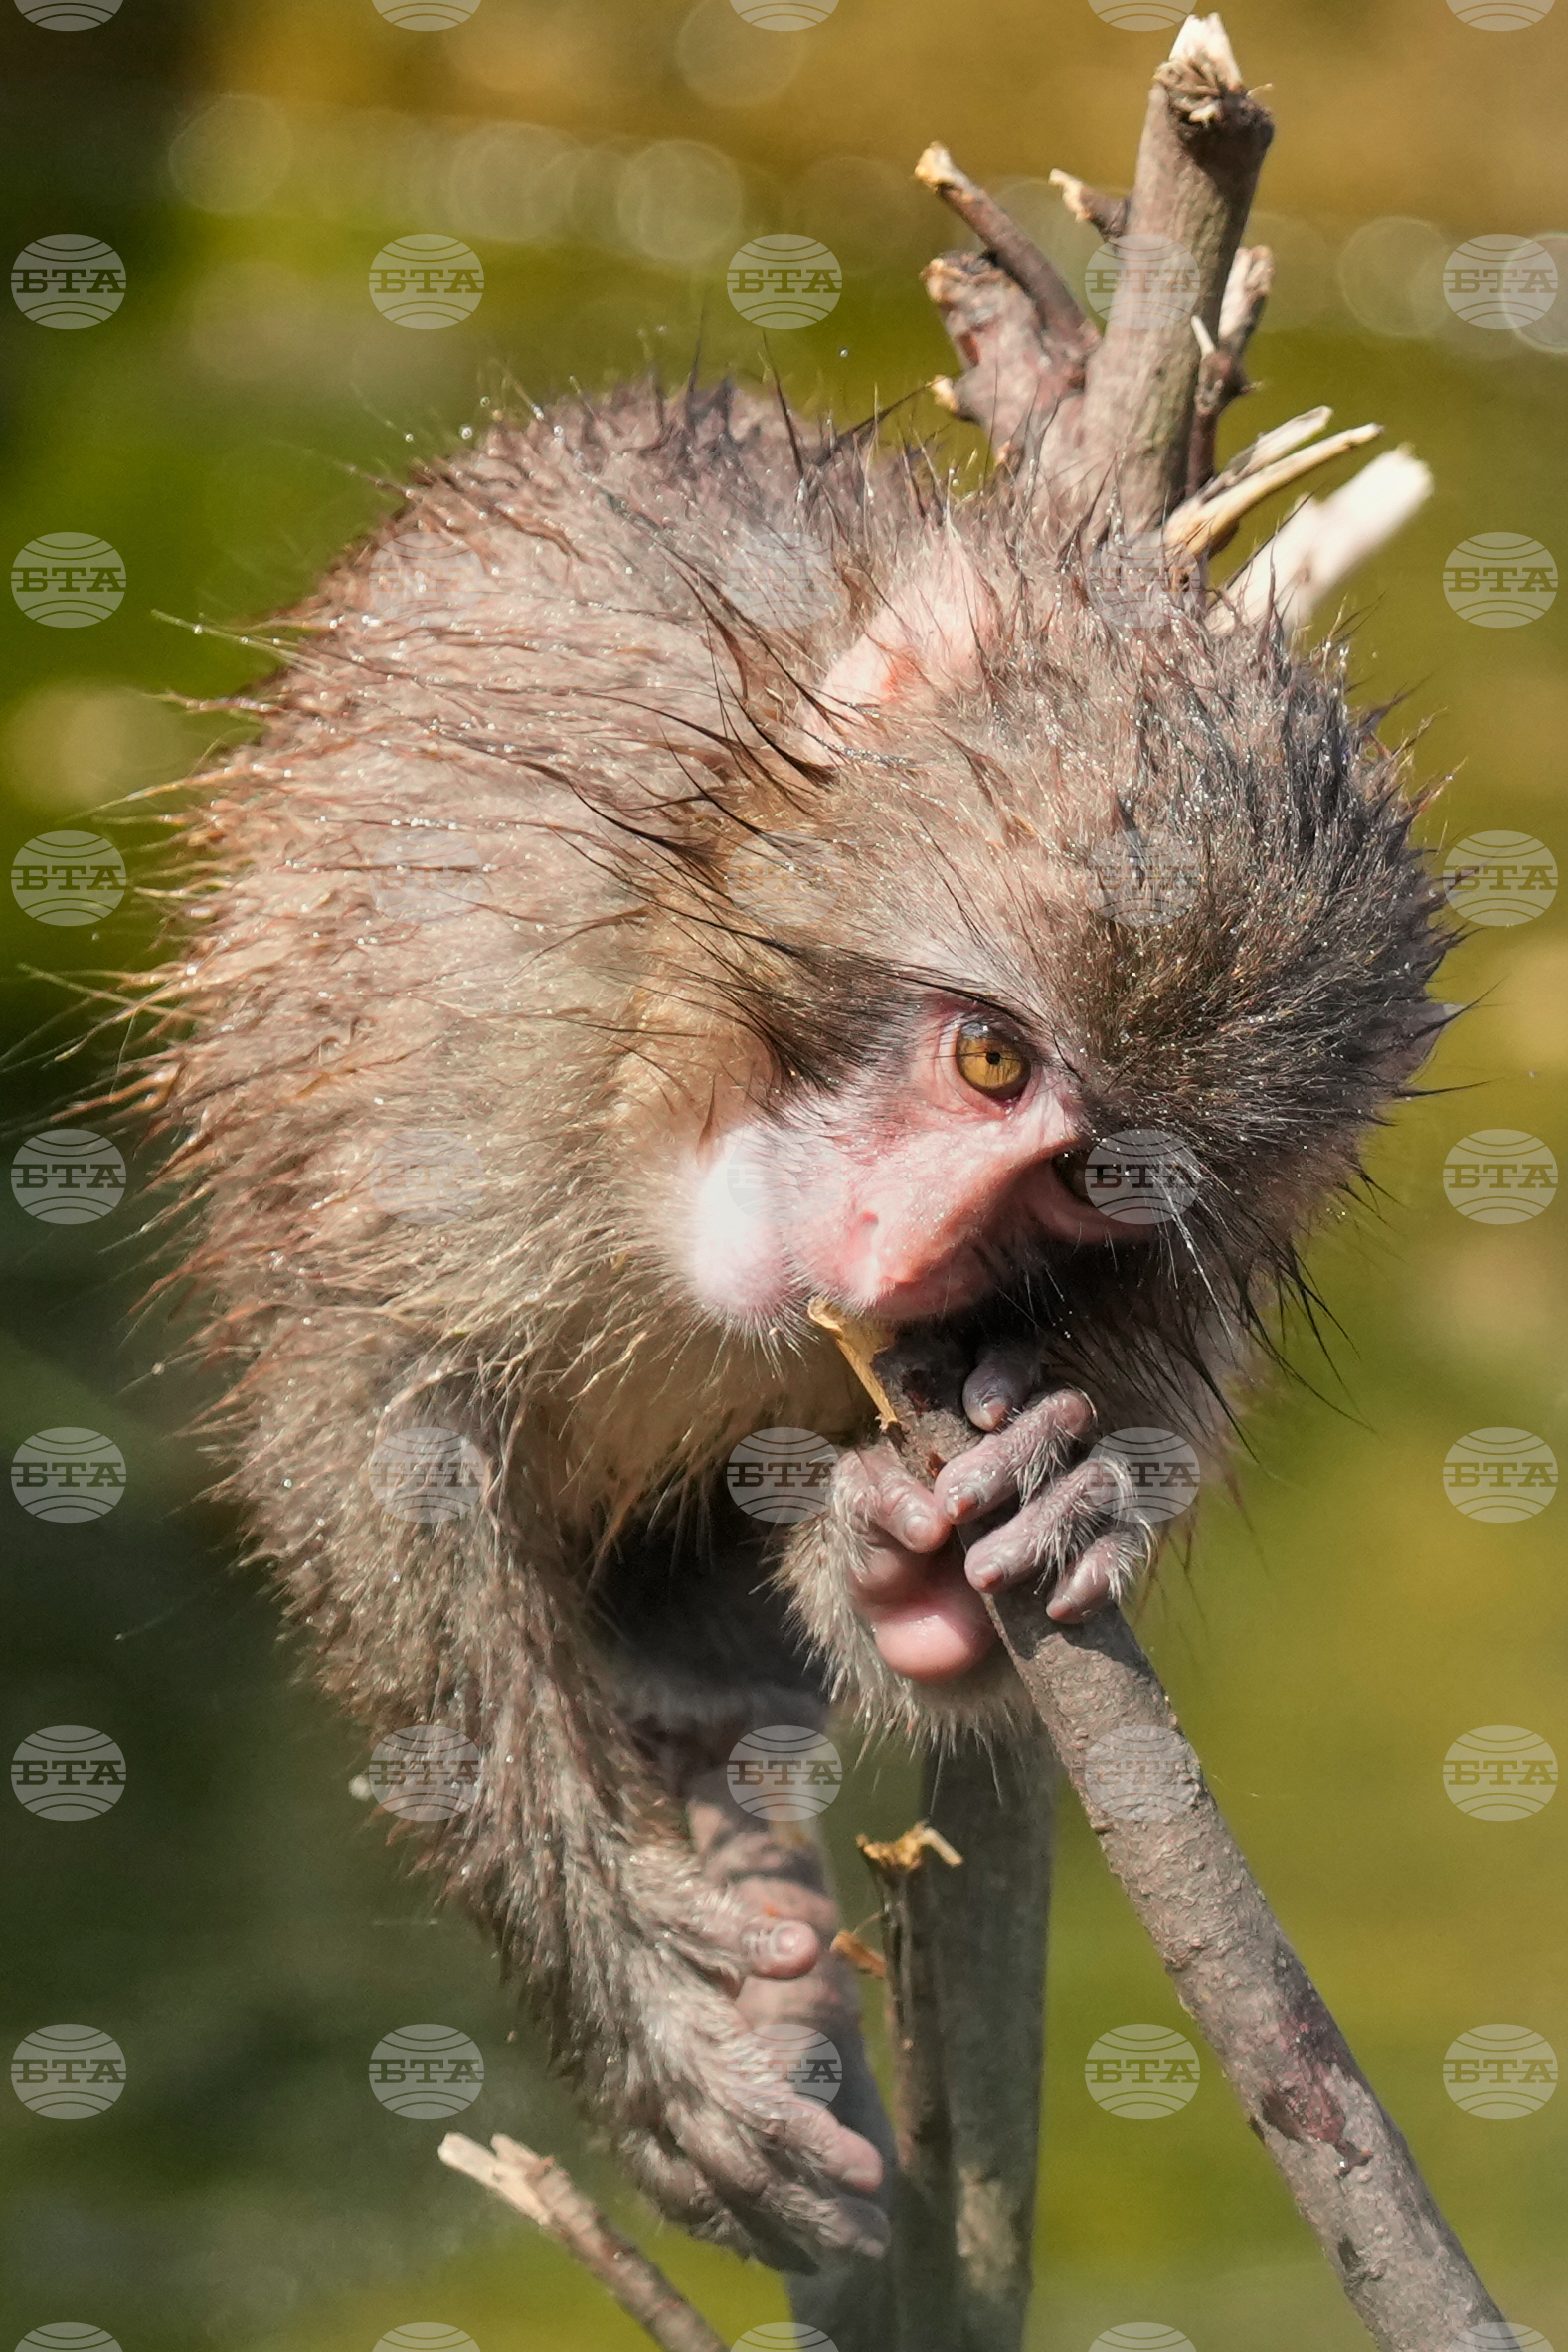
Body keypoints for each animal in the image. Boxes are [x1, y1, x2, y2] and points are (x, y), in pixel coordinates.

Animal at [137, 359, 1451, 2277]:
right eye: (991, 1058)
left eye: (1097, 1182)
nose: (899, 1254)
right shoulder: (476, 990)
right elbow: (378, 1420)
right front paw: (649, 2029)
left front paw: (959, 1546)